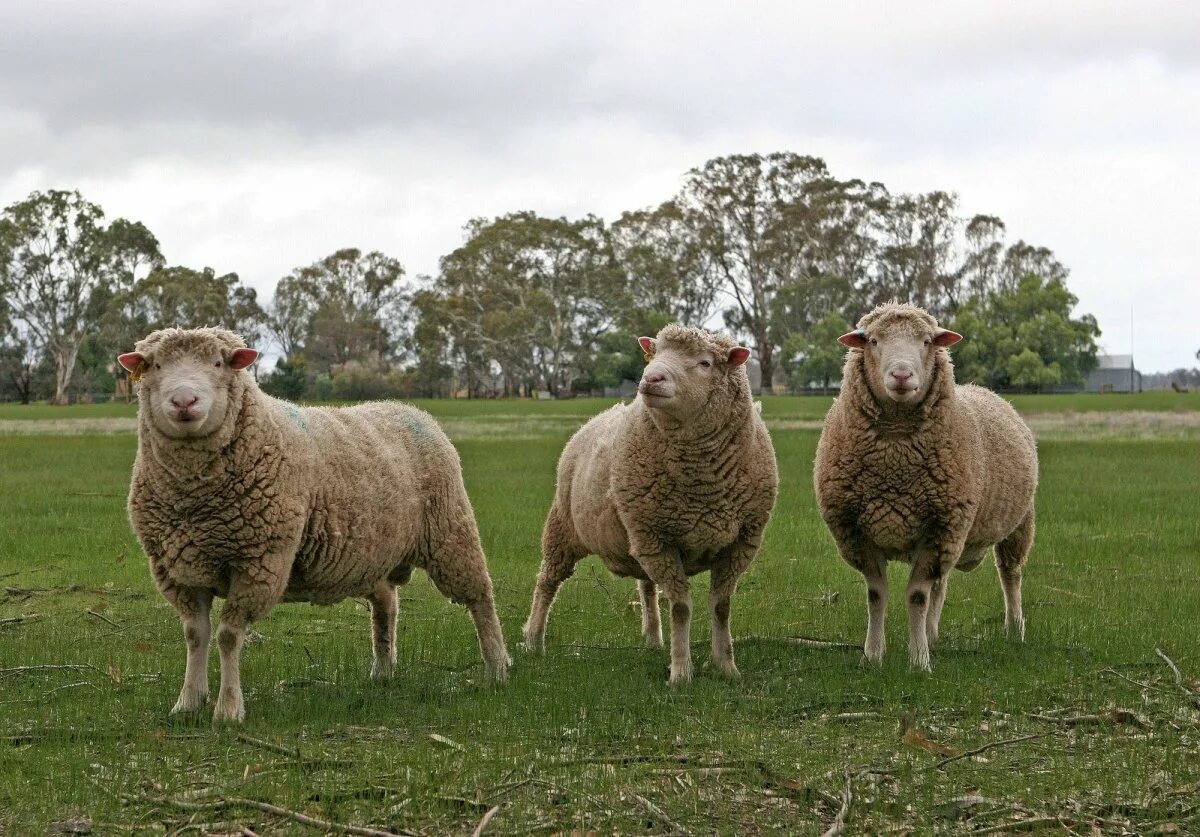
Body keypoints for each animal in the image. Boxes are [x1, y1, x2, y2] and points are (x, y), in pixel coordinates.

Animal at [120, 323, 511, 719]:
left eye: (218, 363)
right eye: (155, 366)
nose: (184, 402)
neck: (195, 502)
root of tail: (409, 409)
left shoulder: (258, 562)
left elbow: (228, 636)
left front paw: (228, 709)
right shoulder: (179, 570)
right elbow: (195, 635)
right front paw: (187, 703)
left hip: (451, 532)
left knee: (480, 597)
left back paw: (497, 668)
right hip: (372, 555)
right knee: (386, 603)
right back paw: (383, 670)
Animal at [523, 323, 777, 681]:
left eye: (705, 363)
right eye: (654, 354)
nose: (650, 377)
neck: (704, 485)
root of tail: (599, 416)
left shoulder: (739, 542)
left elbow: (721, 607)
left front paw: (725, 667)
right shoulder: (660, 539)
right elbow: (681, 608)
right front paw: (681, 672)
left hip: (637, 534)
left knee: (645, 586)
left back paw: (654, 638)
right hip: (565, 526)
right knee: (547, 581)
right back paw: (533, 640)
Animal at [816, 303, 1041, 666]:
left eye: (925, 341)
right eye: (874, 341)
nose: (901, 375)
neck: (895, 461)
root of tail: (983, 389)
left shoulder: (938, 529)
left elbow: (917, 597)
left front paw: (919, 660)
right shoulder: (859, 532)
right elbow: (877, 595)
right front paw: (873, 656)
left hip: (1017, 524)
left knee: (1011, 575)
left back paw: (1014, 629)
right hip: (955, 535)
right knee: (943, 584)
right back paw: (933, 633)